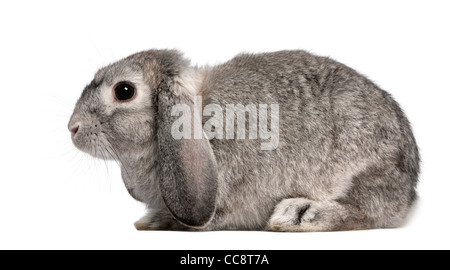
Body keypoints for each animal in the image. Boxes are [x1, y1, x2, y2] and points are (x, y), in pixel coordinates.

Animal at [68, 49, 420, 231]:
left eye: (124, 90)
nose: (72, 128)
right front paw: (149, 221)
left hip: (366, 168)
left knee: (371, 210)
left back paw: (299, 214)